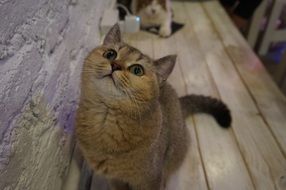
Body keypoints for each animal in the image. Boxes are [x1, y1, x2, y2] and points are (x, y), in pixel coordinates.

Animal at [75, 24, 231, 190]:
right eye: (110, 54)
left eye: (137, 70)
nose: (115, 65)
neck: (106, 120)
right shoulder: (114, 179)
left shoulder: (151, 180)